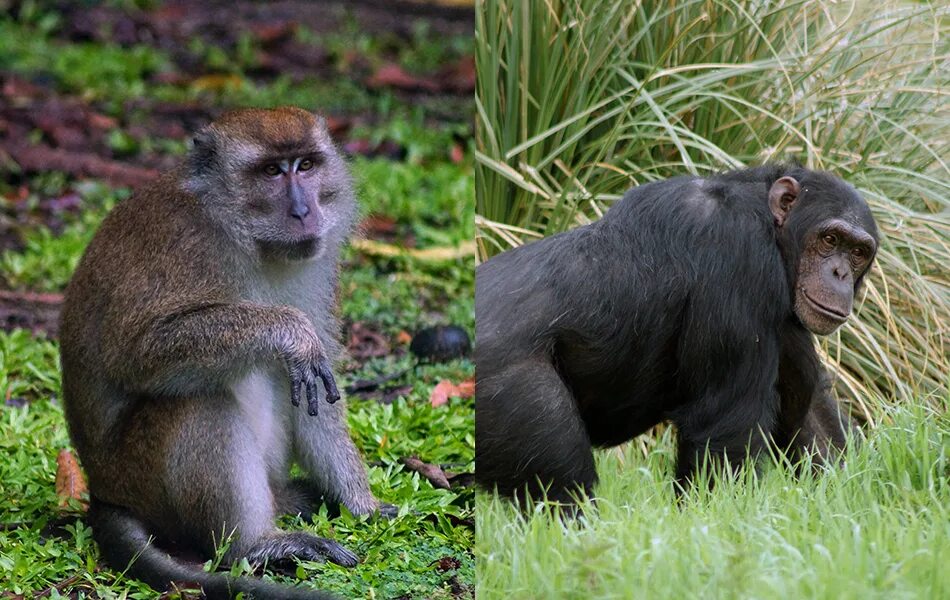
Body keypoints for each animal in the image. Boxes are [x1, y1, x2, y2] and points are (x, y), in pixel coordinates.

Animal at [59, 105, 394, 596]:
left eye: (306, 165)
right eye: (271, 171)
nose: (303, 211)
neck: (244, 236)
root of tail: (106, 494)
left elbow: (319, 385)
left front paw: (362, 504)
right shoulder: (185, 247)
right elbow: (136, 353)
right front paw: (290, 331)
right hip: (140, 479)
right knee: (200, 399)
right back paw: (256, 544)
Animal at [480, 163, 880, 502]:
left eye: (858, 251)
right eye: (830, 239)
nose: (840, 273)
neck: (770, 224)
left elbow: (811, 413)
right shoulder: (740, 255)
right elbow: (726, 425)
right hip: (517, 395)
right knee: (563, 484)